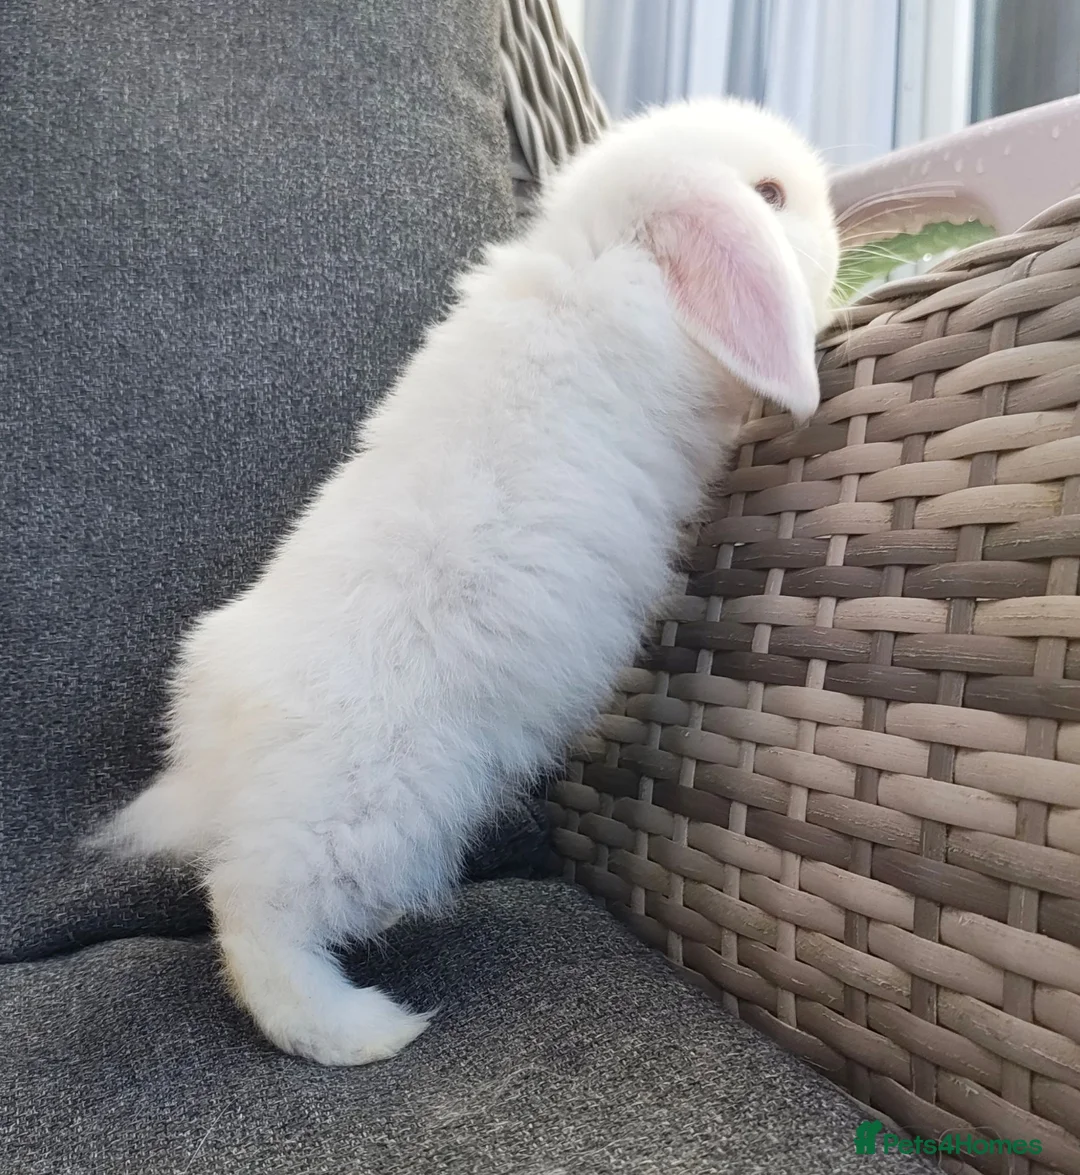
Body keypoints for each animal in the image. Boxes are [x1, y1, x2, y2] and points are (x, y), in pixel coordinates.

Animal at [90, 97, 840, 1066]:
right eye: (772, 194)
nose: (836, 215)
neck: (609, 253)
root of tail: (215, 748)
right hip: (371, 824)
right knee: (255, 911)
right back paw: (363, 1029)